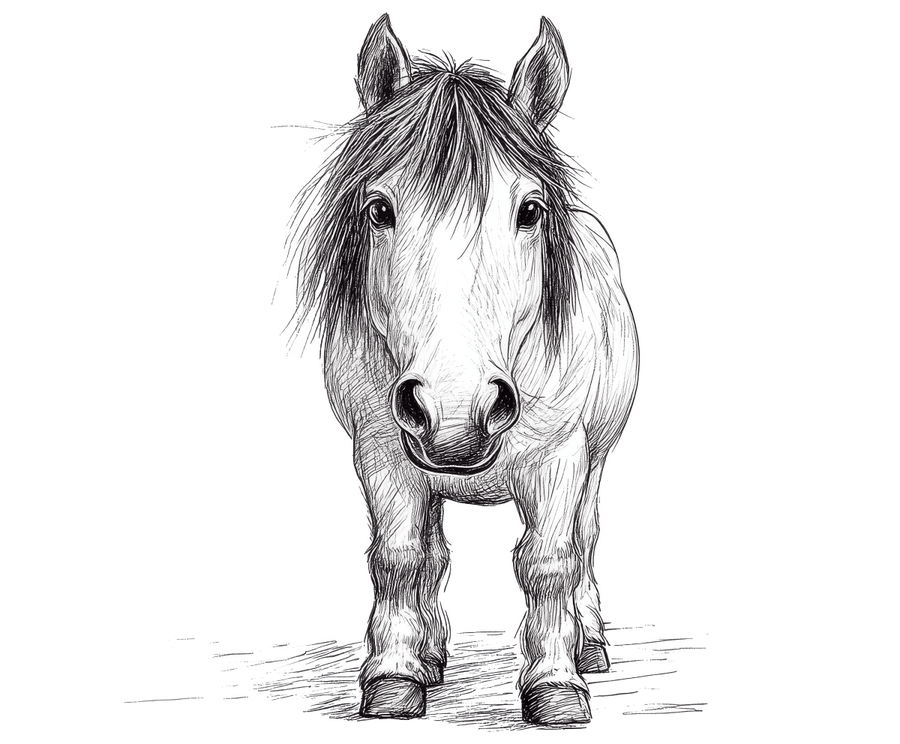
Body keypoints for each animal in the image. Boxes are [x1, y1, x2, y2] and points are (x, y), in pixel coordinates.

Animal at [269, 12, 642, 726]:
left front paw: (555, 689)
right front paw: (395, 676)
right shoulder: (384, 451)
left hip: (594, 462)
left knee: (586, 539)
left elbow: (549, 562)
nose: (455, 410)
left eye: (529, 211)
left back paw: (589, 643)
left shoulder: (559, 457)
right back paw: (434, 651)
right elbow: (401, 557)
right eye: (380, 209)